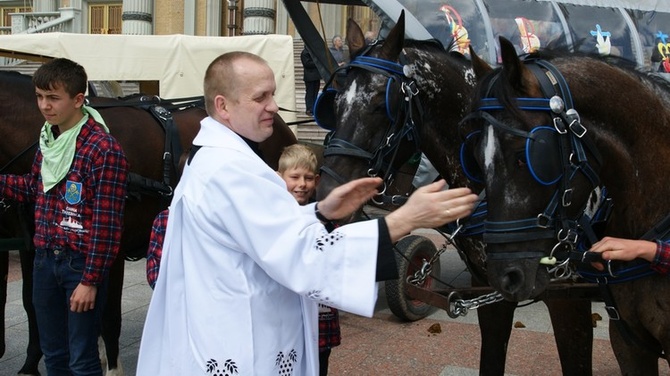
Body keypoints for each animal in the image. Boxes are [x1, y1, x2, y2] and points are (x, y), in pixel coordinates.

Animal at [0, 70, 296, 374]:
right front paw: (30, 363)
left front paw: (112, 367)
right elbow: (33, 302)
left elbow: (108, 317)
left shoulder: (111, 247)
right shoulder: (34, 246)